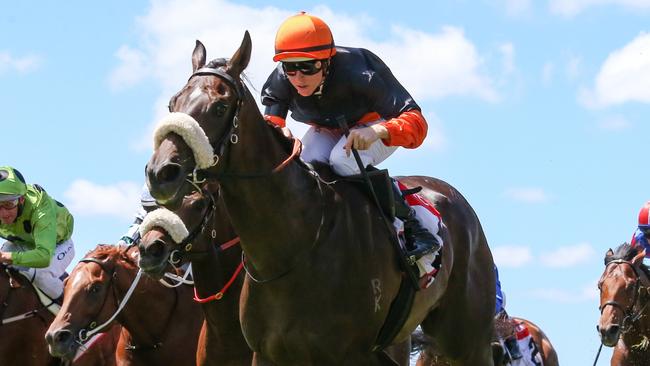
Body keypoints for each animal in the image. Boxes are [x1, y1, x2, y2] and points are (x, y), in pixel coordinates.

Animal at [144, 33, 494, 364]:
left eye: (219, 106)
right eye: (173, 104)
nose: (162, 172)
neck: (293, 246)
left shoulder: (351, 354)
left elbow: (410, 116)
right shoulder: (267, 353)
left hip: (469, 342)